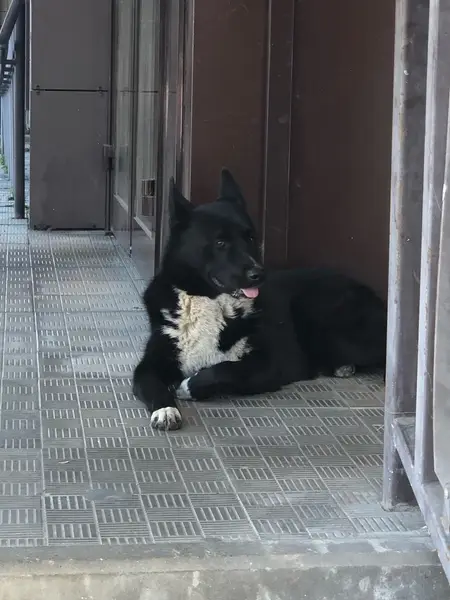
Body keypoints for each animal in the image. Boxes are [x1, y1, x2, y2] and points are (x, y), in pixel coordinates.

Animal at [133, 169, 387, 431]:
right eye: (220, 243)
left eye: (251, 238)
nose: (259, 274)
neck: (211, 302)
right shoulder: (147, 367)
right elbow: (152, 385)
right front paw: (165, 410)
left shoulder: (271, 365)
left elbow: (224, 370)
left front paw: (187, 386)